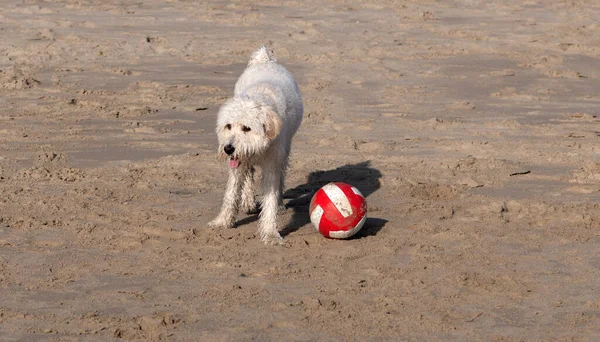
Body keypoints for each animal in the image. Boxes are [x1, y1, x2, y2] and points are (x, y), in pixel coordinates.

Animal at [209, 46, 304, 243]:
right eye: (228, 126)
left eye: (247, 128)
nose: (228, 149)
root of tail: (265, 61)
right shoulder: (237, 163)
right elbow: (231, 192)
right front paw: (223, 221)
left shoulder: (272, 164)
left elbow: (270, 198)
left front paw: (270, 233)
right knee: (248, 174)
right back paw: (248, 201)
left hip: (285, 152)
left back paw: (280, 203)